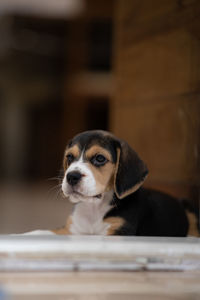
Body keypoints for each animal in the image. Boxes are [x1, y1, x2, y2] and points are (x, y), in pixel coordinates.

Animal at [52, 131, 191, 237]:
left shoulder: (118, 231)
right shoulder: (71, 229)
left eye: (100, 158)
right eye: (69, 157)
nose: (72, 176)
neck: (94, 208)